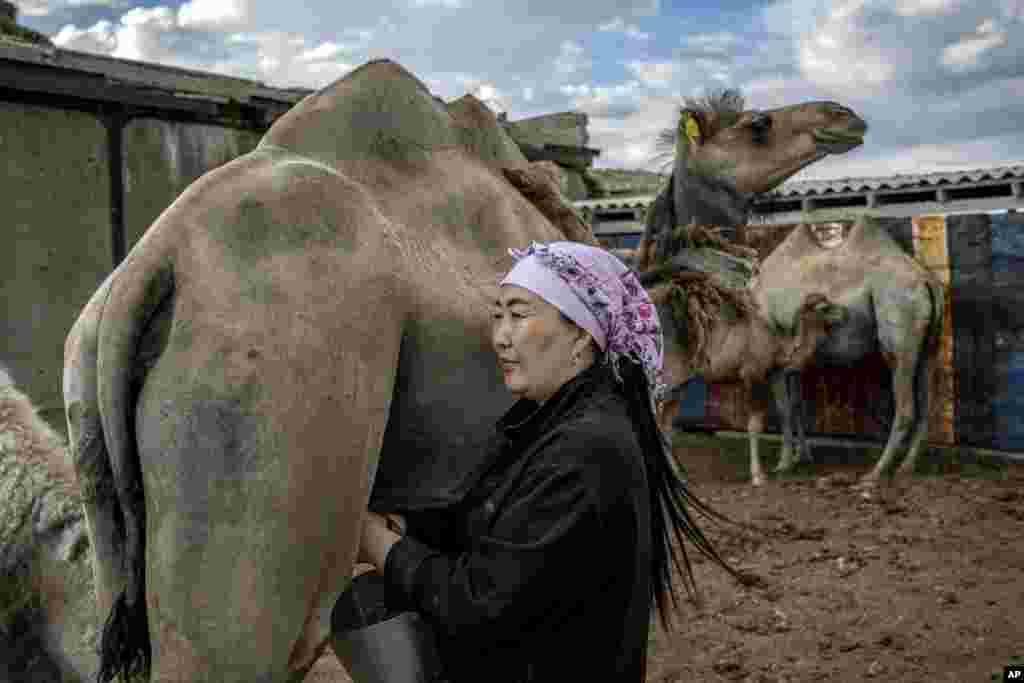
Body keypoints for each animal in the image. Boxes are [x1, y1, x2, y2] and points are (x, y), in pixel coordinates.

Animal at [638, 274, 847, 489]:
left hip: (680, 380)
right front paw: (758, 476)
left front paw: (784, 464)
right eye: (825, 308)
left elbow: (784, 411)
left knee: (666, 422)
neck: (778, 343)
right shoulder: (752, 373)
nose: (845, 313)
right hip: (667, 372)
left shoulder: (774, 373)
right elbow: (754, 424)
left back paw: (679, 476)